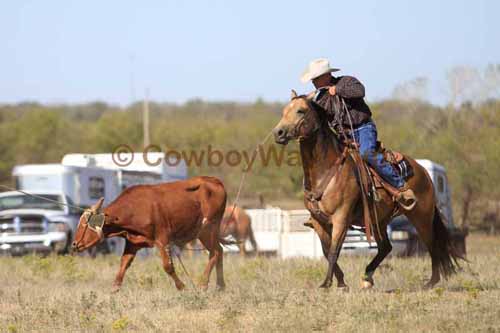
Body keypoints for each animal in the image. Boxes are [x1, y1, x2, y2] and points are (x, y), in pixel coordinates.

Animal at [71, 176, 228, 290]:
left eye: (85, 224)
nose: (74, 244)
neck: (135, 208)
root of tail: (215, 181)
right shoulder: (133, 243)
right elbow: (124, 264)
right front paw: (114, 289)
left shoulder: (162, 240)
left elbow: (168, 266)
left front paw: (181, 286)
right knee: (219, 251)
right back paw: (220, 286)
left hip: (207, 229)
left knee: (215, 252)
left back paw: (203, 284)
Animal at [274, 90, 460, 288]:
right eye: (284, 111)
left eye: (301, 111)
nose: (278, 132)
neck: (327, 170)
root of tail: (423, 172)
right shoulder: (318, 221)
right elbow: (326, 251)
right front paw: (341, 282)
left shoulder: (341, 217)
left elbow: (333, 251)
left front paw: (327, 284)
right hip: (380, 220)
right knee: (386, 247)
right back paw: (367, 277)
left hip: (421, 217)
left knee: (432, 245)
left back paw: (431, 282)